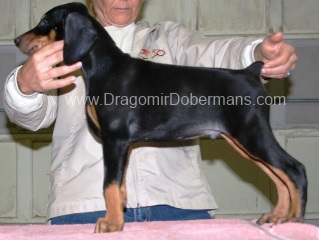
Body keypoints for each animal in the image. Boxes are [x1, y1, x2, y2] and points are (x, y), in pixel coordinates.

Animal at [14, 2, 308, 233]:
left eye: (44, 22)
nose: (17, 41)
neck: (104, 66)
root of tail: (251, 72)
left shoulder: (114, 139)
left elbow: (109, 185)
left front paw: (111, 224)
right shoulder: (124, 145)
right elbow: (120, 186)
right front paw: (120, 218)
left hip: (250, 132)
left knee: (293, 169)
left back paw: (294, 220)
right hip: (243, 139)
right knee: (279, 175)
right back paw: (277, 216)